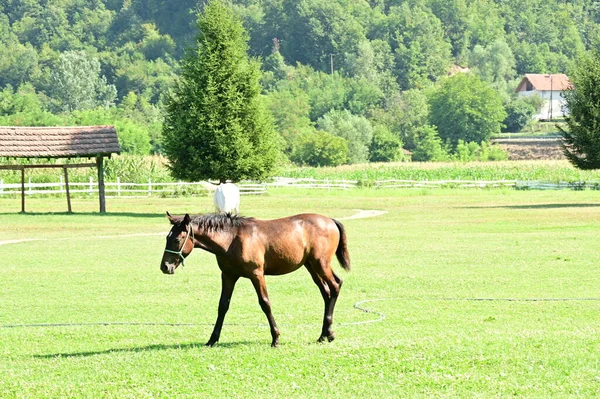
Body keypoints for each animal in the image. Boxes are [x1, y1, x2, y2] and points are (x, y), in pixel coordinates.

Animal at [159, 212, 352, 346]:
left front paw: (276, 338)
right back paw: (324, 334)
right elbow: (223, 305)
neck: (232, 240)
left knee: (335, 286)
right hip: (311, 266)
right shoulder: (228, 276)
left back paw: (328, 333)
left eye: (177, 239)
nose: (165, 267)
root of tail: (330, 220)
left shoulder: (256, 274)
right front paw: (212, 339)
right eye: (167, 238)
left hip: (320, 264)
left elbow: (265, 303)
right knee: (326, 292)